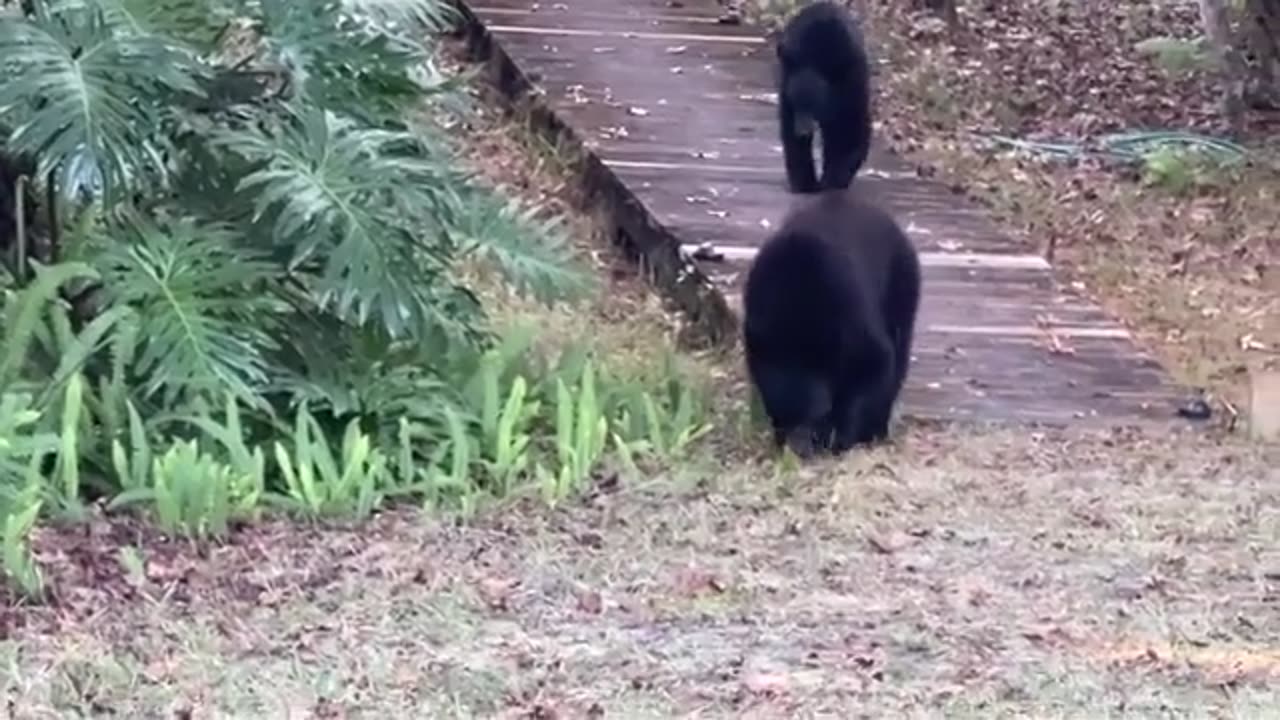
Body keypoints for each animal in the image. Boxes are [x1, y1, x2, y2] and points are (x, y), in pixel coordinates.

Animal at [742, 190, 921, 453]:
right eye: (779, 415)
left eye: (815, 414)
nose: (798, 450)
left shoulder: (848, 311)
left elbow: (875, 362)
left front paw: (843, 434)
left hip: (901, 281)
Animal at [773, 0, 875, 193]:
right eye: (796, 103)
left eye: (814, 105)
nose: (802, 132)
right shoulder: (787, 84)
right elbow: (789, 131)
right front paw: (804, 182)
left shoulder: (852, 82)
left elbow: (852, 131)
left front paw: (834, 178)